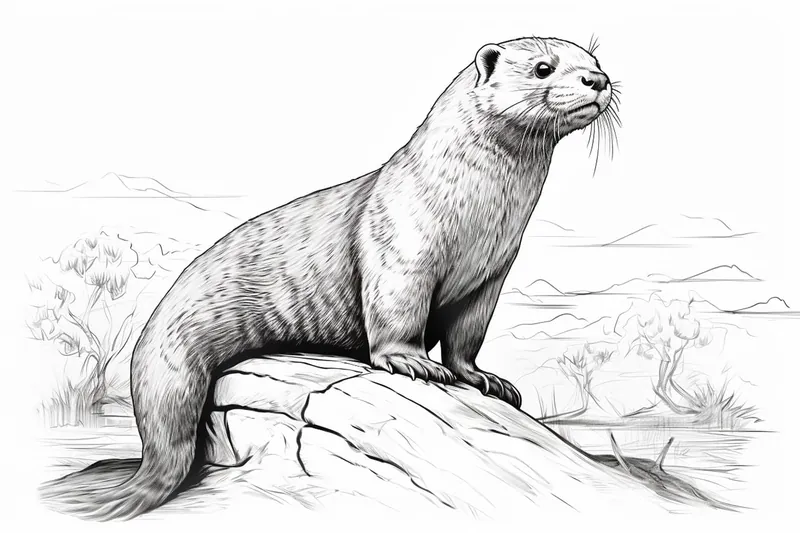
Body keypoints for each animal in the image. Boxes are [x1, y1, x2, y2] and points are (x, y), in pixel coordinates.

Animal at [40, 35, 616, 520]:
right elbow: (396, 315)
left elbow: (465, 336)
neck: (478, 218)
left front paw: (483, 378)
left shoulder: (491, 275)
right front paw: (413, 364)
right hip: (171, 359)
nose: (599, 80)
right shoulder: (401, 248)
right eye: (544, 68)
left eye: (595, 60)